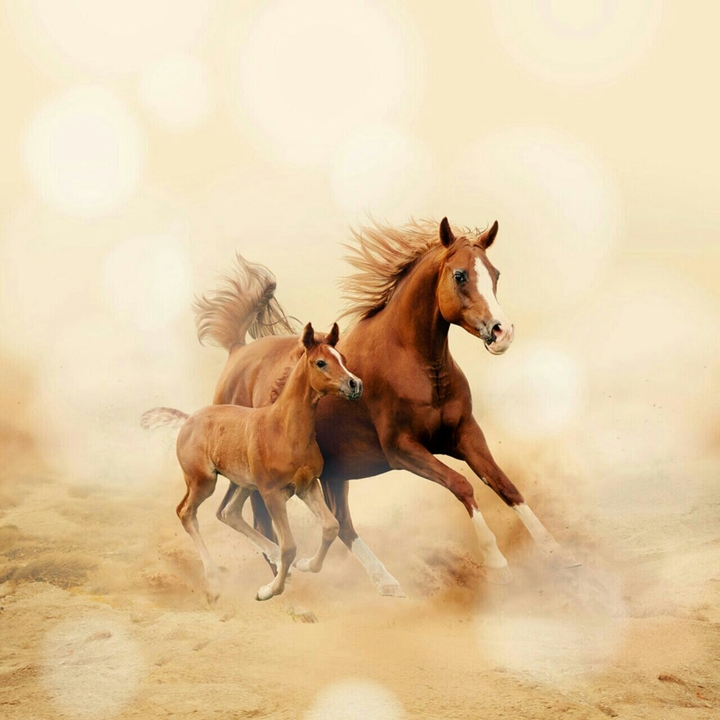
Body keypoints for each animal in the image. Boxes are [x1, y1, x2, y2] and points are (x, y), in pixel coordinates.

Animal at [141, 322, 363, 602]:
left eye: (342, 358)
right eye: (321, 362)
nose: (355, 384)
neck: (284, 430)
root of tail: (188, 419)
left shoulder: (307, 486)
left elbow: (331, 527)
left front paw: (305, 565)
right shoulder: (272, 493)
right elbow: (289, 546)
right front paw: (268, 591)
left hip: (244, 483)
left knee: (229, 512)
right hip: (203, 482)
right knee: (186, 512)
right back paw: (214, 582)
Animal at [194, 217, 578, 596]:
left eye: (495, 273)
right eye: (460, 275)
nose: (502, 333)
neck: (415, 364)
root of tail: (237, 351)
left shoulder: (465, 434)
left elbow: (504, 484)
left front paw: (557, 553)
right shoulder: (402, 450)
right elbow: (462, 485)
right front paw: (498, 564)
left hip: (334, 472)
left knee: (340, 523)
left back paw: (383, 581)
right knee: (258, 517)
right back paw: (282, 576)